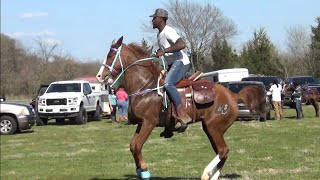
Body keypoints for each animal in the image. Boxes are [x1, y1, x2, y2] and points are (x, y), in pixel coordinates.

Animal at [95, 36, 268, 179]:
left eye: (110, 55)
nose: (99, 76)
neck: (145, 85)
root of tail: (233, 95)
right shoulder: (141, 123)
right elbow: (132, 146)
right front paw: (140, 170)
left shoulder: (149, 123)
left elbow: (137, 146)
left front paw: (144, 170)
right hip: (210, 129)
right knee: (222, 153)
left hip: (214, 127)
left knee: (223, 151)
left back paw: (206, 173)